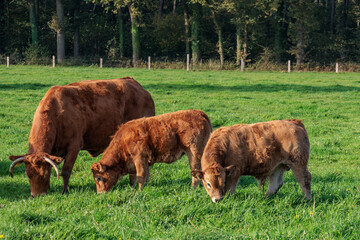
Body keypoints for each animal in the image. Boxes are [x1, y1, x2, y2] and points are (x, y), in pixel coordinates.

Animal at [8, 77, 155, 197]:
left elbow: (66, 171)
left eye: (45, 174)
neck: (57, 112)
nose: (37, 195)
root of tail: (136, 84)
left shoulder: (74, 147)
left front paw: (64, 191)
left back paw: (134, 185)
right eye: (28, 174)